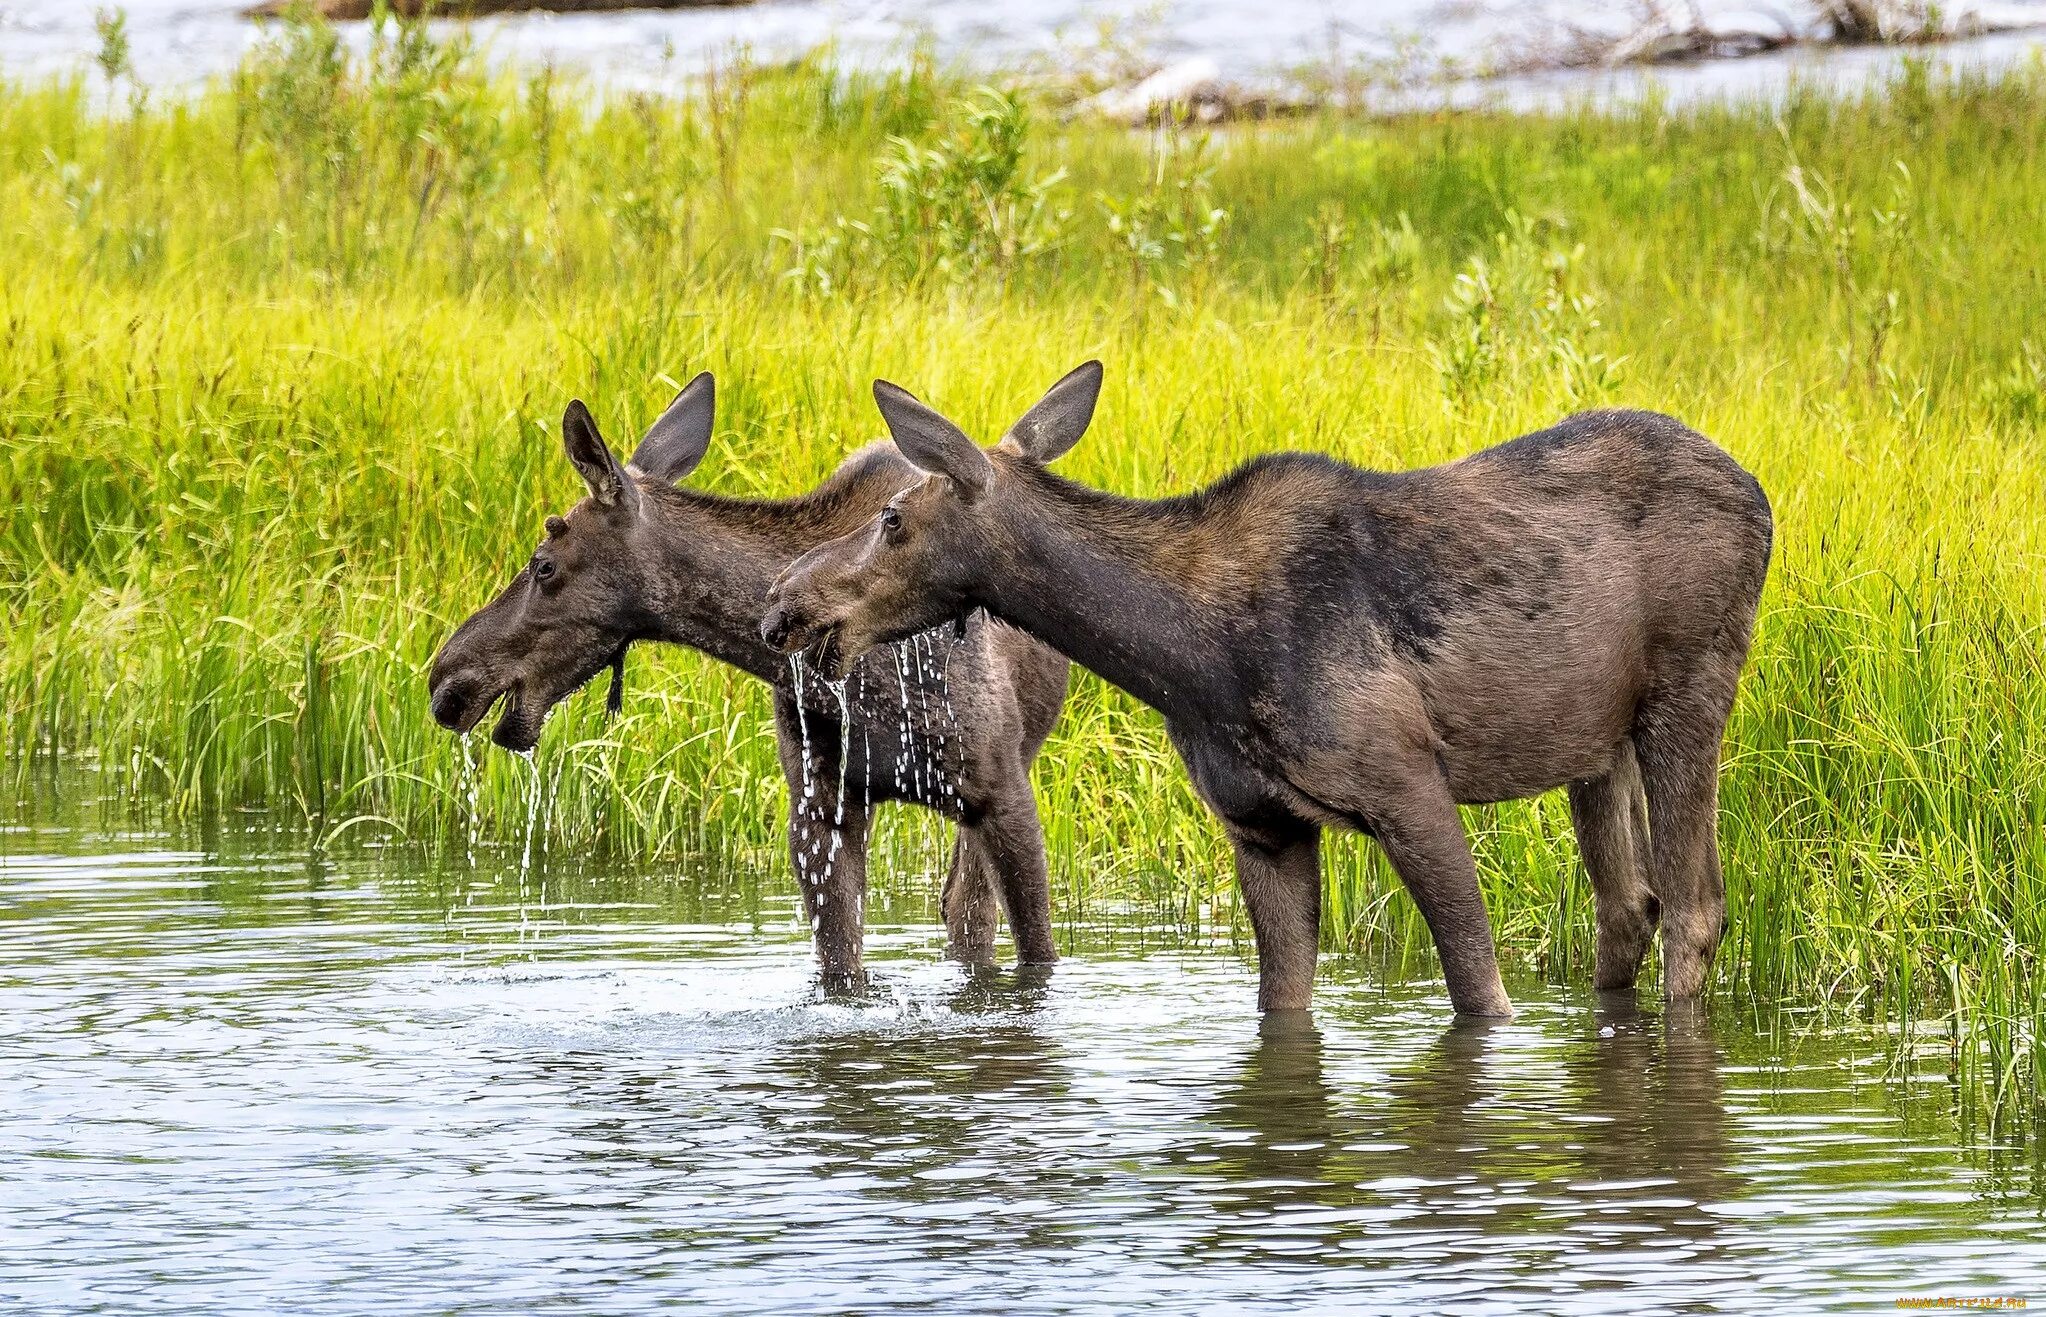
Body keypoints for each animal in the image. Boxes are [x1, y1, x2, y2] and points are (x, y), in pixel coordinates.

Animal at [429, 376, 1072, 981]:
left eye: (543, 566)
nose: (445, 676)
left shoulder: (1001, 790)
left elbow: (1036, 957)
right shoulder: (820, 806)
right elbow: (842, 971)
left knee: (969, 911)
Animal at [761, 361, 1767, 1018]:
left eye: (893, 518)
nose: (783, 603)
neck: (1191, 658)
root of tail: (1762, 497)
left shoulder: (1407, 783)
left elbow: (1480, 989)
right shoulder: (1261, 823)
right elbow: (1281, 1003)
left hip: (1689, 694)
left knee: (1694, 909)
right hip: (1596, 745)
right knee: (1628, 906)